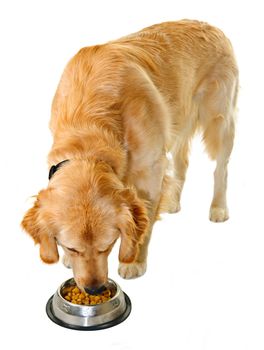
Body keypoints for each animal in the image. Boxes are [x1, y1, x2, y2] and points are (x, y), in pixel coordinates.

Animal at [21, 19, 238, 292]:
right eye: (71, 247)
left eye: (108, 245)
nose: (95, 289)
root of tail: (211, 25)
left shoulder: (150, 169)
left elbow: (144, 222)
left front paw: (133, 261)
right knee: (182, 162)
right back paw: (173, 201)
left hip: (218, 119)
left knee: (221, 168)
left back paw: (218, 207)